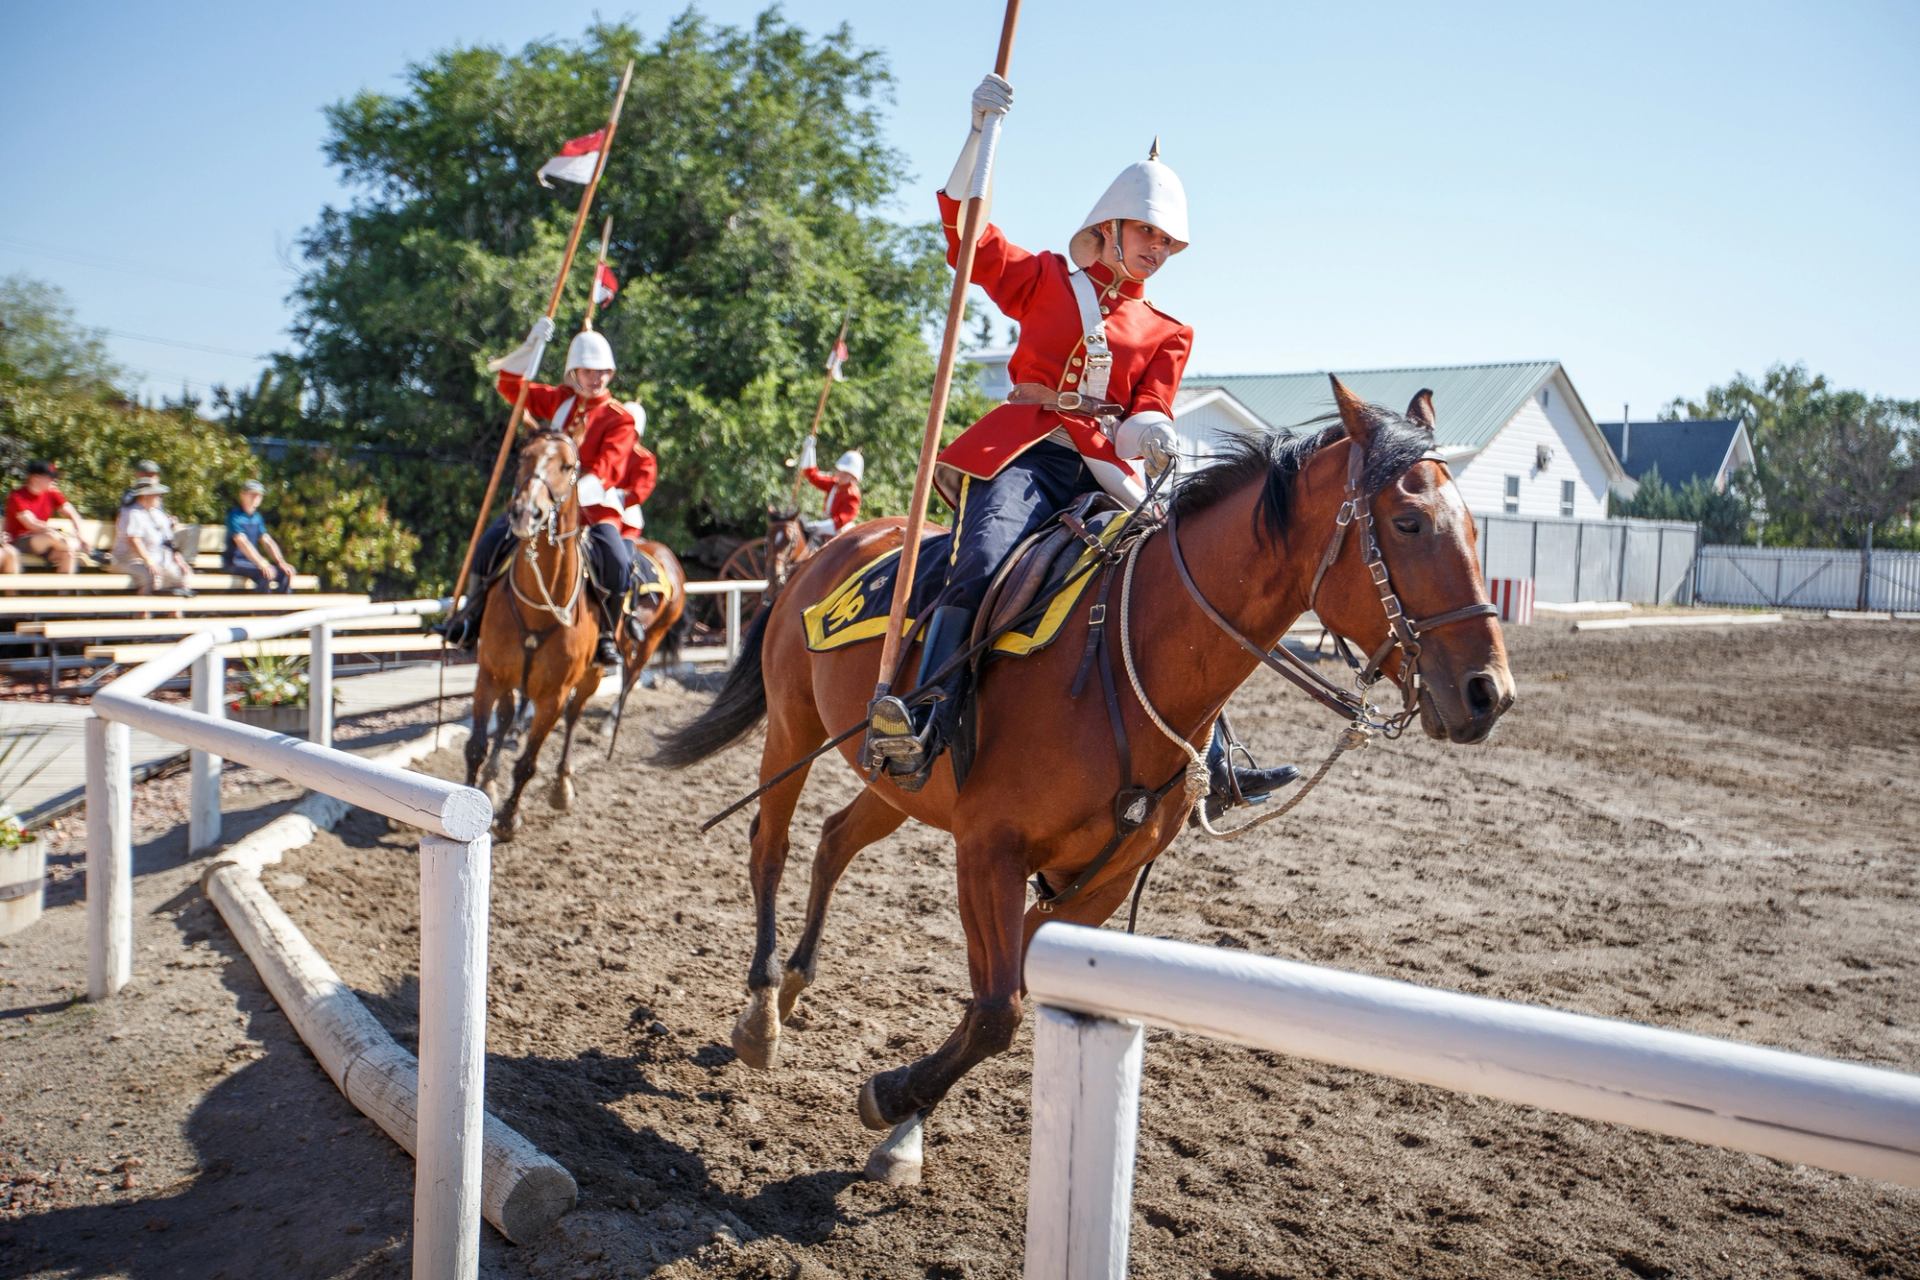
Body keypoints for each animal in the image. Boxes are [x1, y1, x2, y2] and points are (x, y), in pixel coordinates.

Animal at [464, 426, 599, 836]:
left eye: (567, 466)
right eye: (523, 456)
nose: (525, 512)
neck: (537, 608)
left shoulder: (552, 697)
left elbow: (527, 762)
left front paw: (509, 817)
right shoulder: (489, 676)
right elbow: (476, 746)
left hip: (592, 677)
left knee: (574, 717)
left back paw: (562, 785)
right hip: (510, 680)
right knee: (508, 717)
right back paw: (491, 780)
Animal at [656, 379, 1512, 1182]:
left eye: (1476, 528)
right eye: (1408, 524)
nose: (1488, 695)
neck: (1135, 657)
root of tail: (828, 550)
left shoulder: (1098, 882)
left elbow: (1000, 998)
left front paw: (905, 1128)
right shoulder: (988, 850)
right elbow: (996, 1009)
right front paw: (893, 1101)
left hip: (898, 782)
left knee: (834, 842)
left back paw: (796, 986)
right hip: (793, 731)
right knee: (769, 844)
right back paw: (761, 1011)